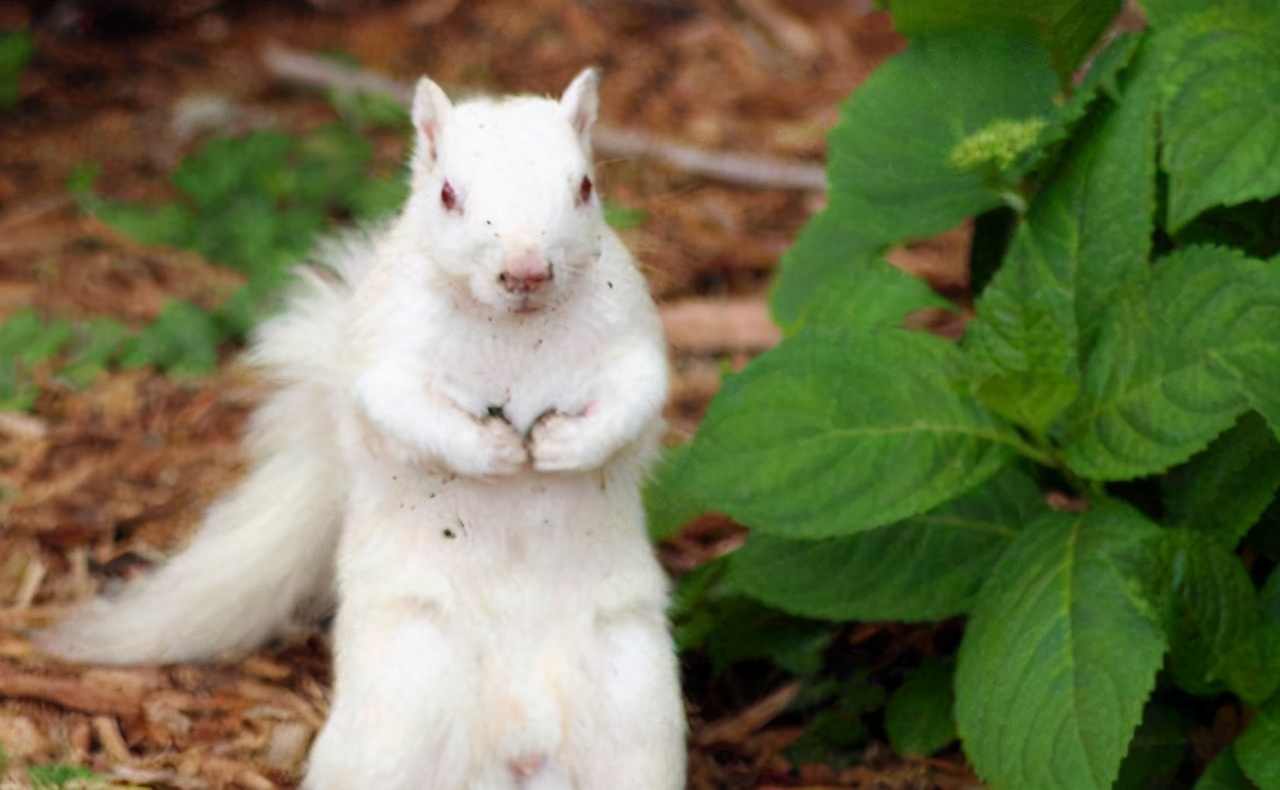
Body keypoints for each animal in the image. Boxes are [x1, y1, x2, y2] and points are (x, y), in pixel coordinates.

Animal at [40, 66, 686, 788]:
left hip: (634, 707)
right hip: (398, 703)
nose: (526, 272)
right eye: (447, 193)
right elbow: (403, 408)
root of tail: (516, 745)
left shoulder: (630, 341)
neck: (513, 330)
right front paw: (489, 449)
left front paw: (564, 445)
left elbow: (636, 398)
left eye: (585, 187)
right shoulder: (388, 353)